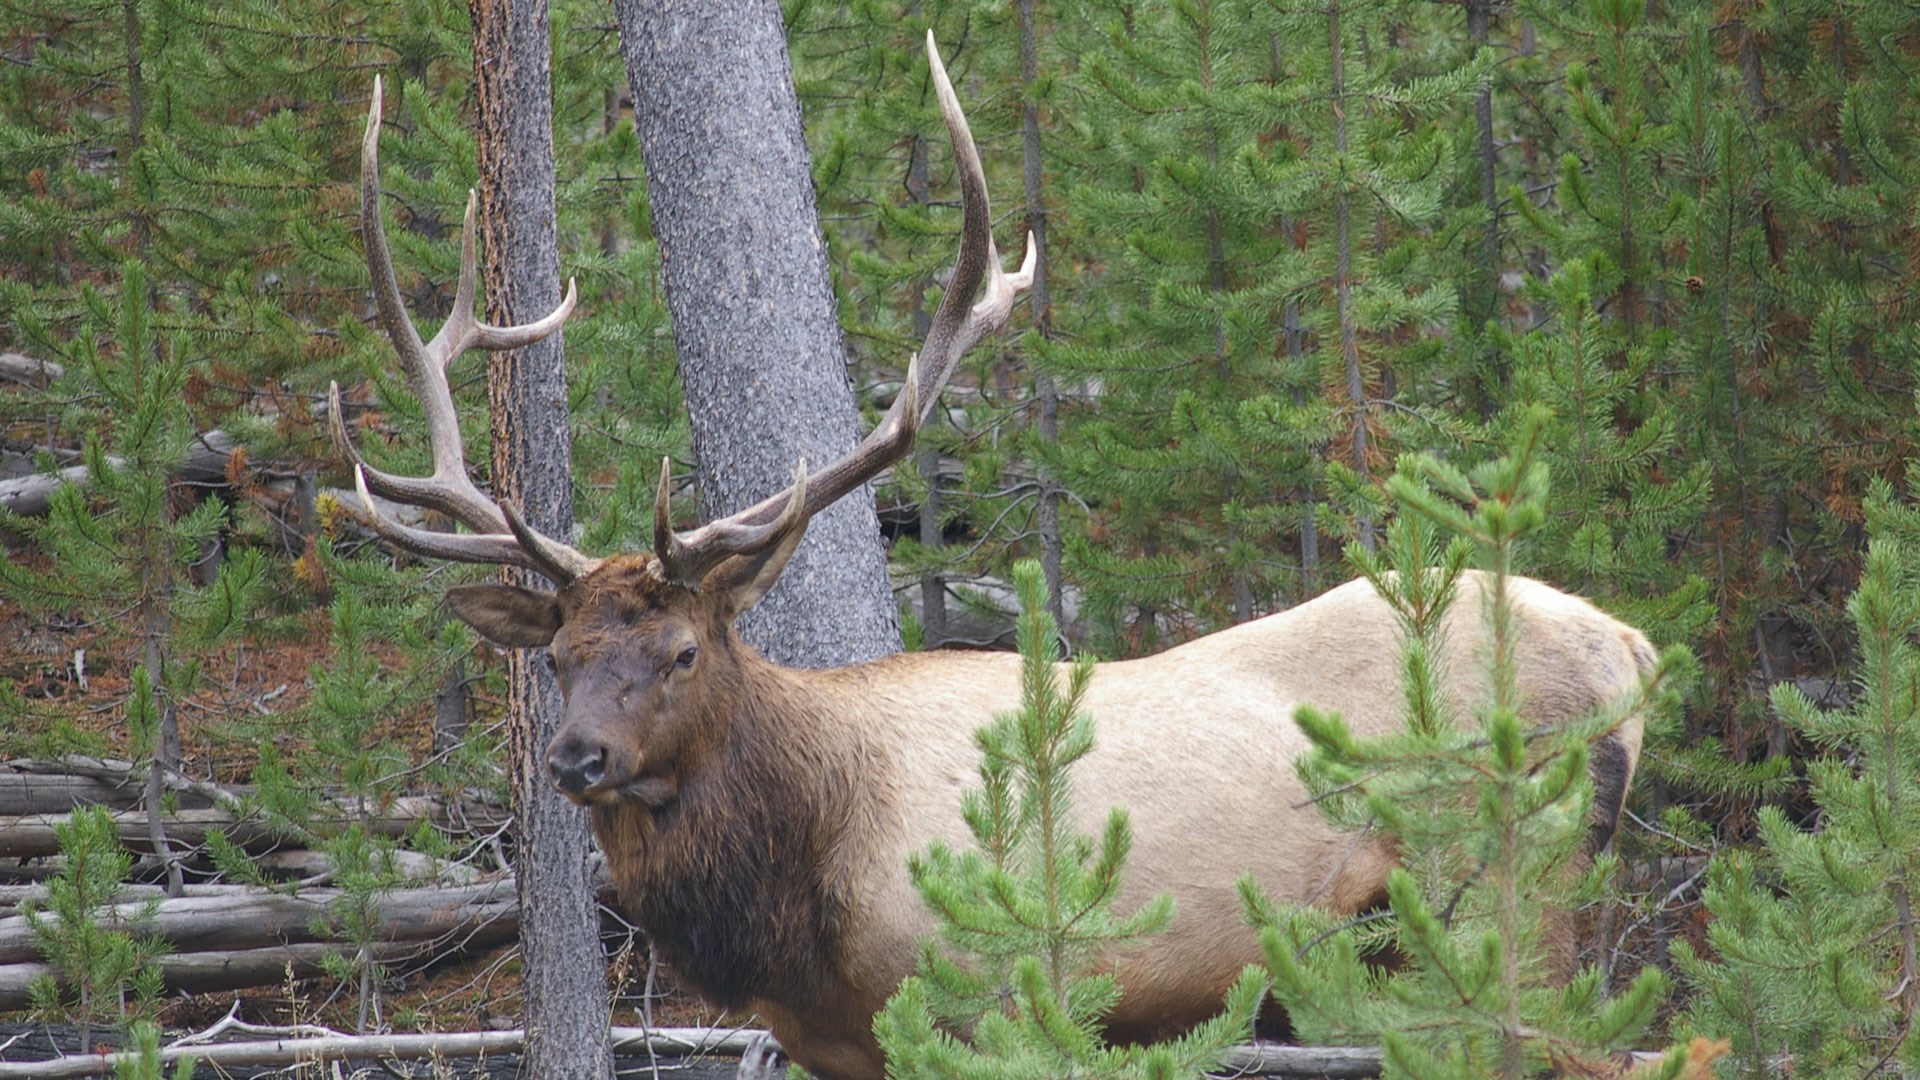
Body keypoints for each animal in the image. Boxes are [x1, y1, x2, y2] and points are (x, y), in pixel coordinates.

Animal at [330, 37, 1651, 1076]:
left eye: (685, 649)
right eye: (558, 655)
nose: (577, 757)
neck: (798, 895)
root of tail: (1635, 650)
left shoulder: (981, 997)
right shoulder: (838, 1044)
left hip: (1514, 894)